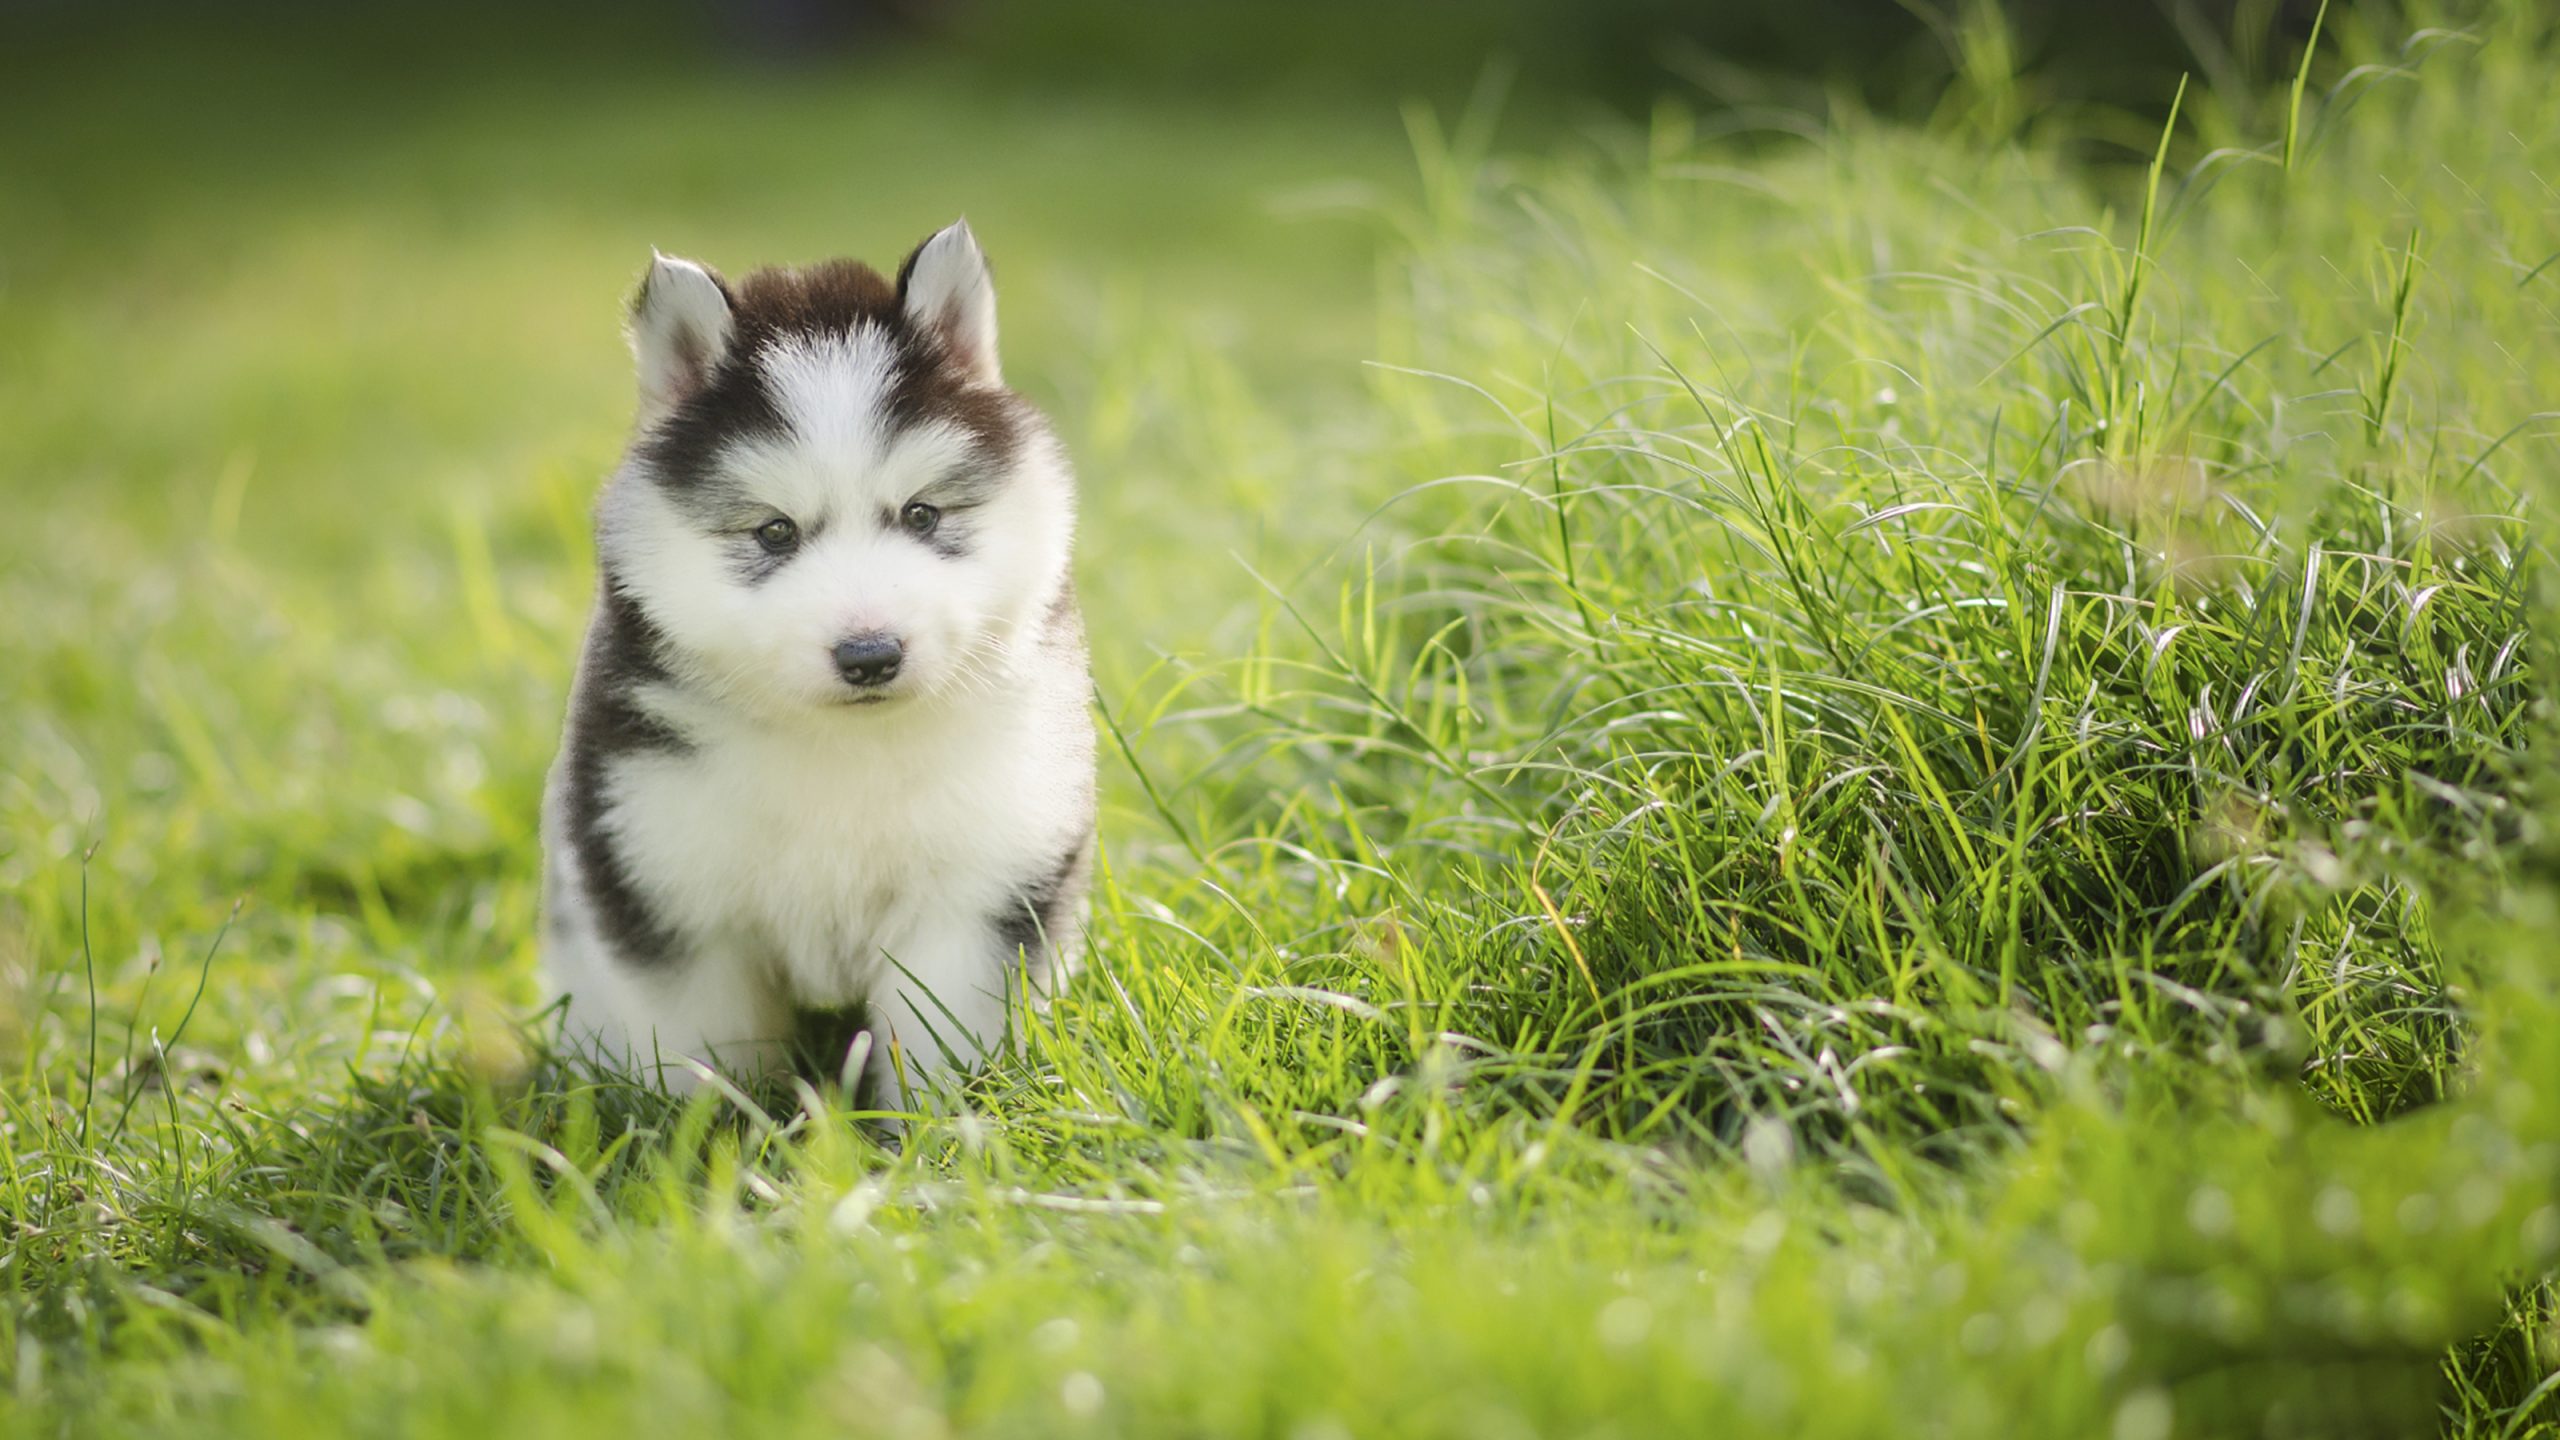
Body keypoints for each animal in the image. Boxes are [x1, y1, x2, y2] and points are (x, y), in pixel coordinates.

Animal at [535, 224, 1095, 1091]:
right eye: (774, 532)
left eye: (922, 514)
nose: (869, 655)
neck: (843, 750)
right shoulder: (669, 889)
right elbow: (709, 1054)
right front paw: (714, 1121)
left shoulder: (976, 891)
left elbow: (940, 1041)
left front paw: (943, 1122)